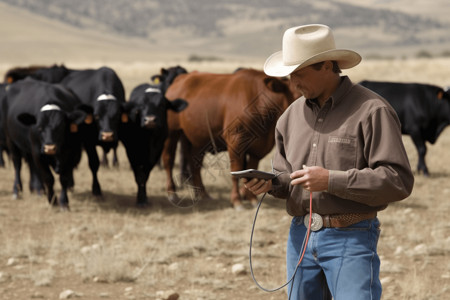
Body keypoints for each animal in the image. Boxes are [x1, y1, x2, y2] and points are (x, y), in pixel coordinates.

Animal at [3, 77, 87, 209]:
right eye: (39, 127)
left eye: (61, 127)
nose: (50, 148)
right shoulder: (38, 153)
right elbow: (48, 178)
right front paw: (52, 200)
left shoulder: (71, 154)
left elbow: (64, 178)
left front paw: (64, 202)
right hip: (11, 141)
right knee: (17, 165)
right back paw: (17, 190)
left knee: (32, 165)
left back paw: (37, 188)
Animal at [59, 66, 126, 196]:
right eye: (96, 116)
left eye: (116, 115)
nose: (107, 135)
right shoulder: (88, 142)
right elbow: (94, 163)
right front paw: (96, 189)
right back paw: (70, 184)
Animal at [163, 68, 298, 209]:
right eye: (296, 93)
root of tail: (182, 78)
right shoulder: (235, 141)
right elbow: (236, 171)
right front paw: (237, 200)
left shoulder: (258, 147)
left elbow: (252, 168)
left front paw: (251, 198)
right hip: (172, 133)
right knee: (168, 160)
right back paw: (172, 193)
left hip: (197, 137)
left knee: (195, 164)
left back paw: (202, 194)